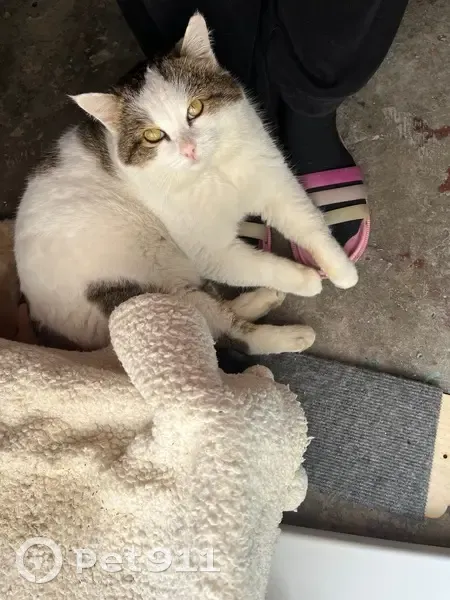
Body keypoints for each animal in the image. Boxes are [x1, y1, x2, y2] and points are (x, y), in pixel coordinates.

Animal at [14, 12, 358, 355]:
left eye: (195, 108)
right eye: (153, 135)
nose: (189, 149)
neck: (213, 171)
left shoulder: (275, 184)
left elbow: (308, 222)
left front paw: (342, 270)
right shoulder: (213, 252)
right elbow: (262, 265)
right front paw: (305, 280)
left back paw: (260, 299)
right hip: (152, 293)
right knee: (226, 331)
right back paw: (289, 334)